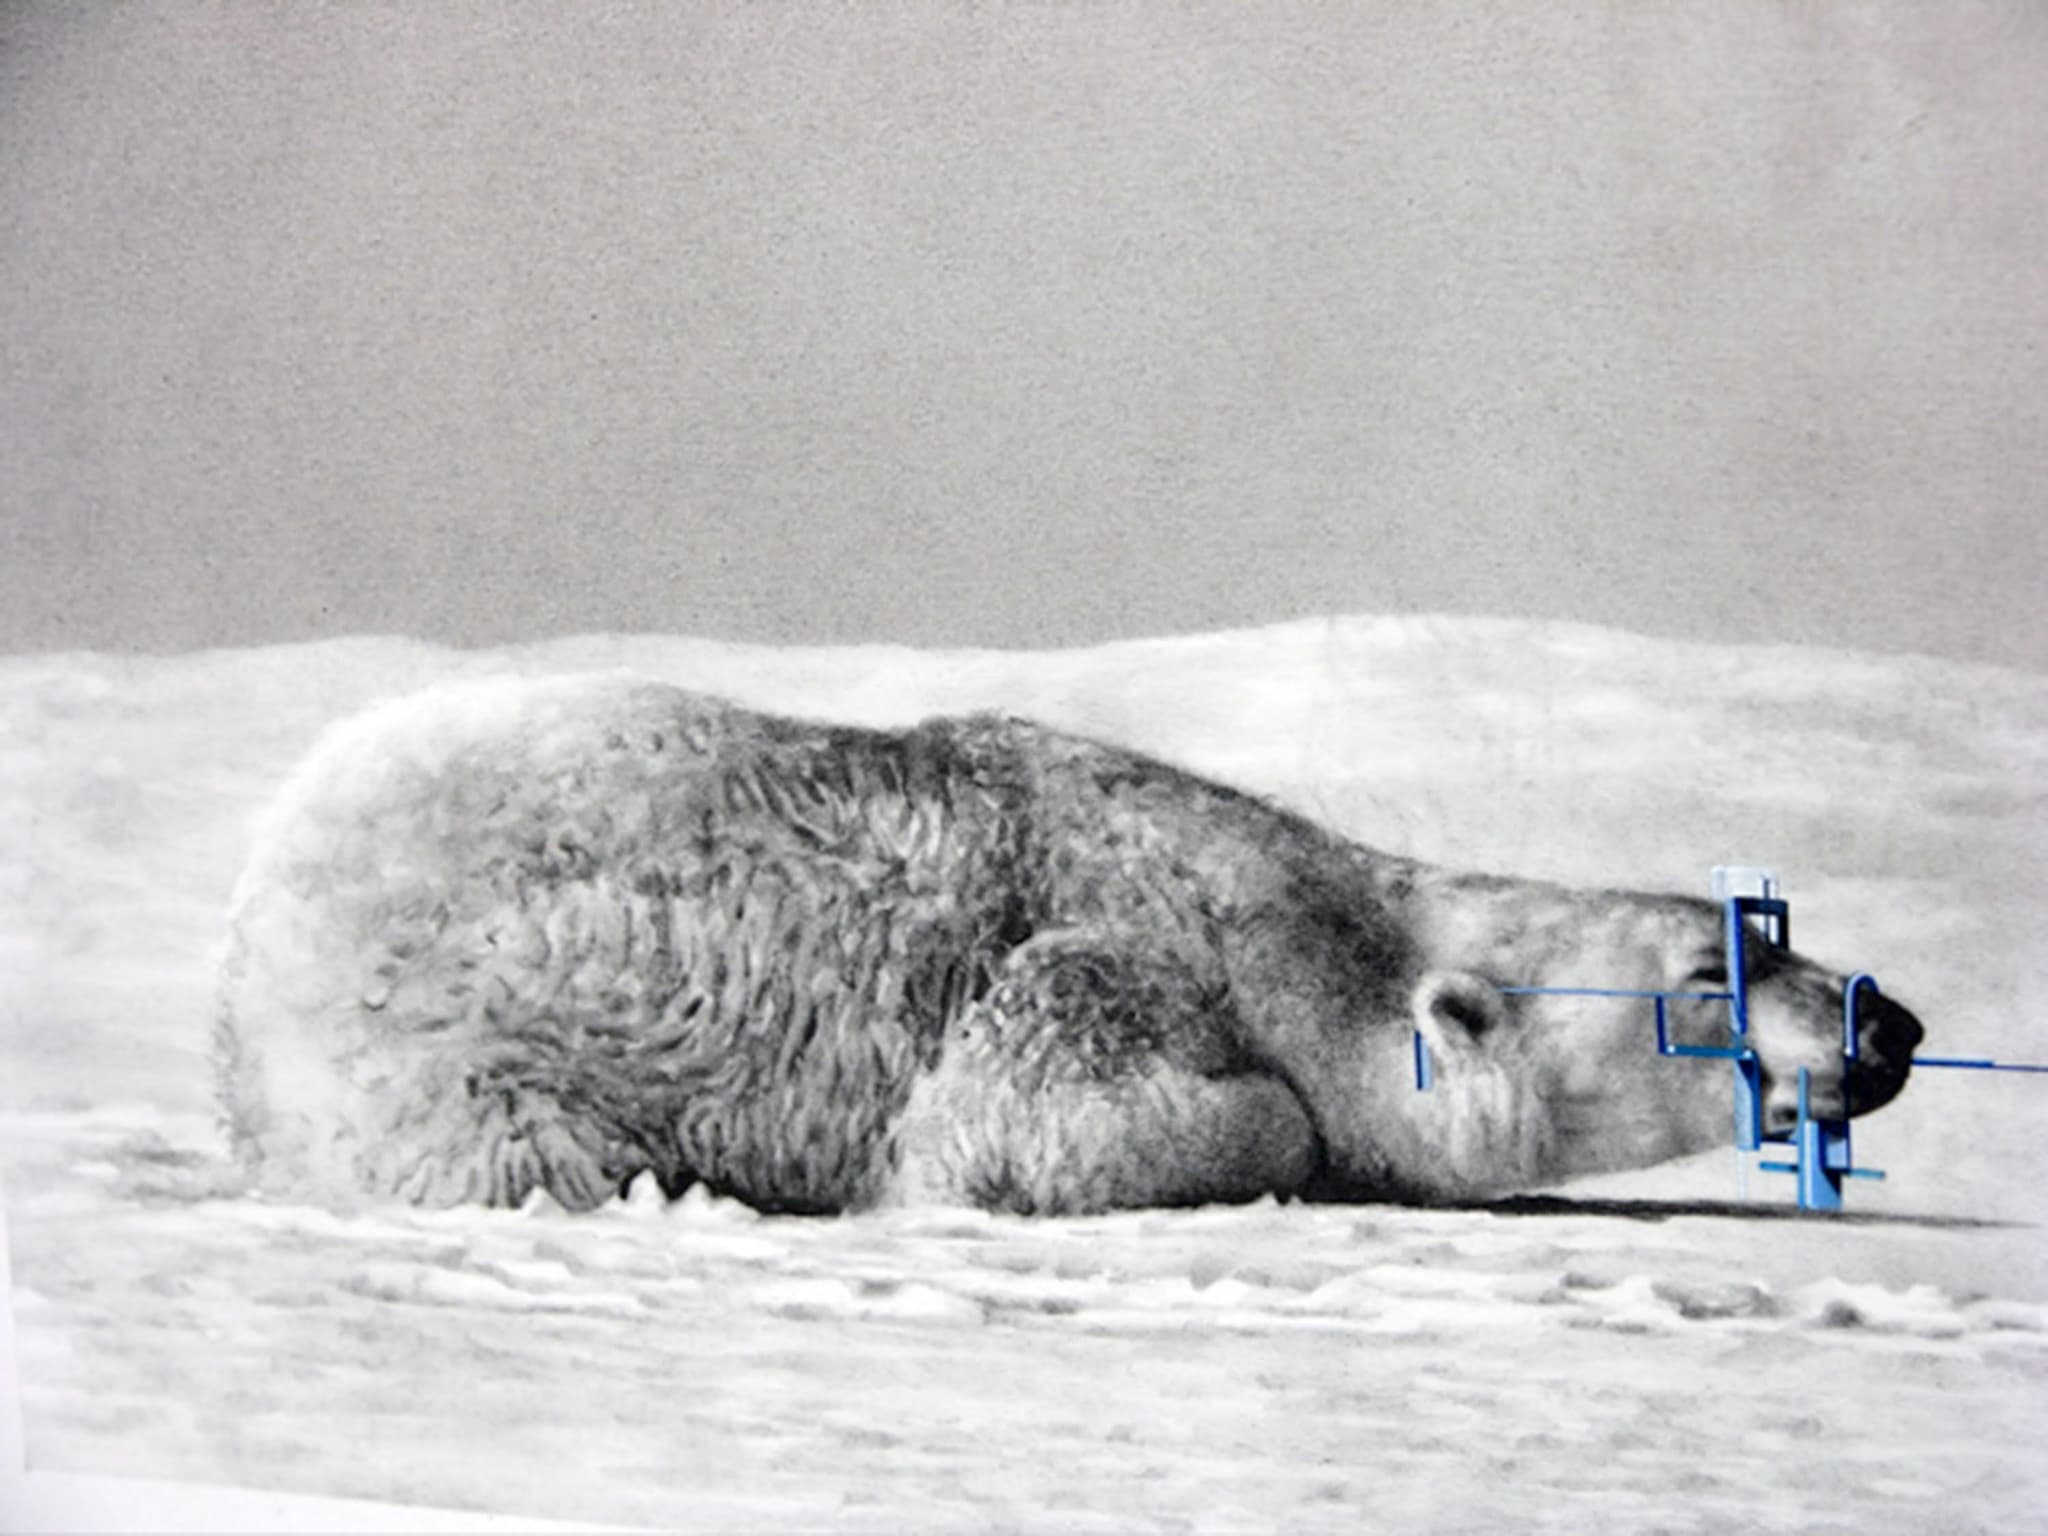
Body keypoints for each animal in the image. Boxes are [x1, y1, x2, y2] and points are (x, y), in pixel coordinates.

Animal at [212, 672, 1924, 1215]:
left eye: (1777, 931)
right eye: (1711, 975)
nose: (1888, 1023)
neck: (1322, 934)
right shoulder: (1114, 948)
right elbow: (1032, 1108)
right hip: (439, 1050)